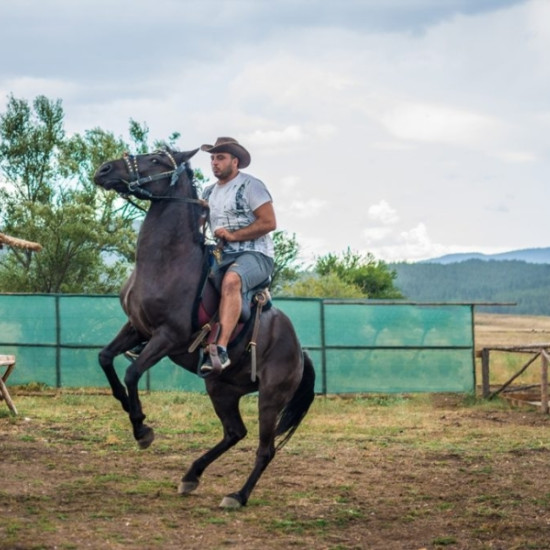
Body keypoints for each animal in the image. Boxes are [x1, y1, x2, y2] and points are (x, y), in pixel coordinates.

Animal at [93, 147, 316, 508]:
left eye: (156, 159)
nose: (104, 169)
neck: (168, 261)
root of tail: (299, 350)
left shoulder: (167, 337)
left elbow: (132, 374)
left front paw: (142, 430)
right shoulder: (137, 329)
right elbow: (105, 360)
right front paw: (129, 410)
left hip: (270, 398)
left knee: (264, 449)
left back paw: (237, 495)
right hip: (221, 389)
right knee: (234, 433)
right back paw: (191, 475)